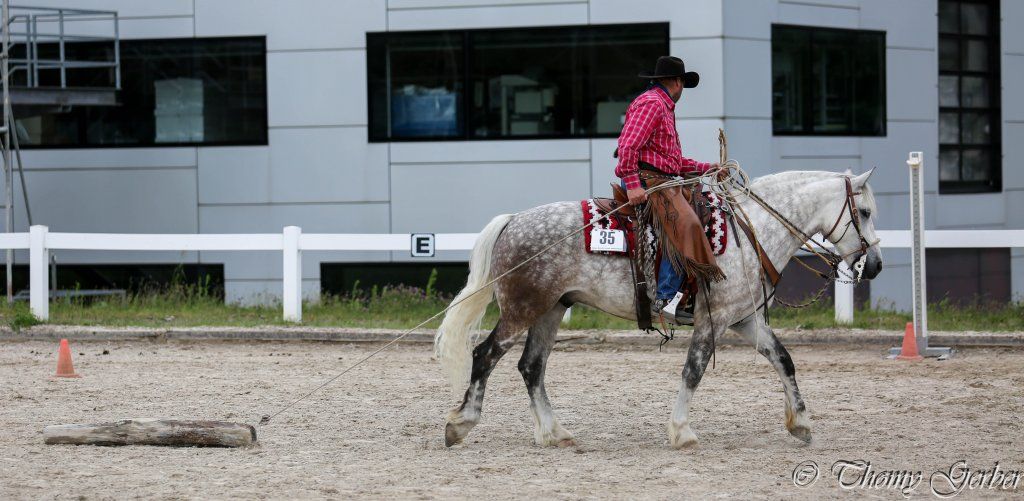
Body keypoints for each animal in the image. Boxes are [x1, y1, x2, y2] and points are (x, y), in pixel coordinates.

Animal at [434, 170, 883, 449]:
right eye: (864, 212)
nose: (875, 265)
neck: (751, 230)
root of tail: (513, 221)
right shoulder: (714, 320)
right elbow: (694, 370)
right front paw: (681, 431)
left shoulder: (745, 318)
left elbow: (784, 360)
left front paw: (802, 424)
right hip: (522, 311)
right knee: (484, 355)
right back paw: (461, 424)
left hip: (550, 311)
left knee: (531, 367)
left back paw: (553, 432)